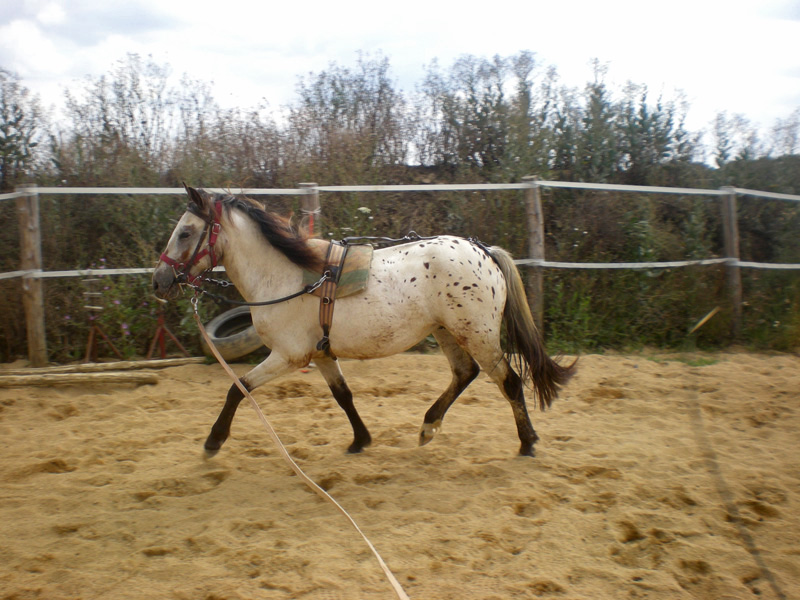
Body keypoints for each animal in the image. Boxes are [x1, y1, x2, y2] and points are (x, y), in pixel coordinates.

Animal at [153, 186, 576, 454]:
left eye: (186, 232)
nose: (160, 280)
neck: (287, 277)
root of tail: (484, 251)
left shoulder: (289, 356)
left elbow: (237, 388)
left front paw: (213, 440)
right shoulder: (321, 355)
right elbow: (344, 396)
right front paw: (361, 440)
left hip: (478, 335)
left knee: (509, 382)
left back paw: (527, 442)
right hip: (446, 332)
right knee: (464, 374)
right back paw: (428, 427)